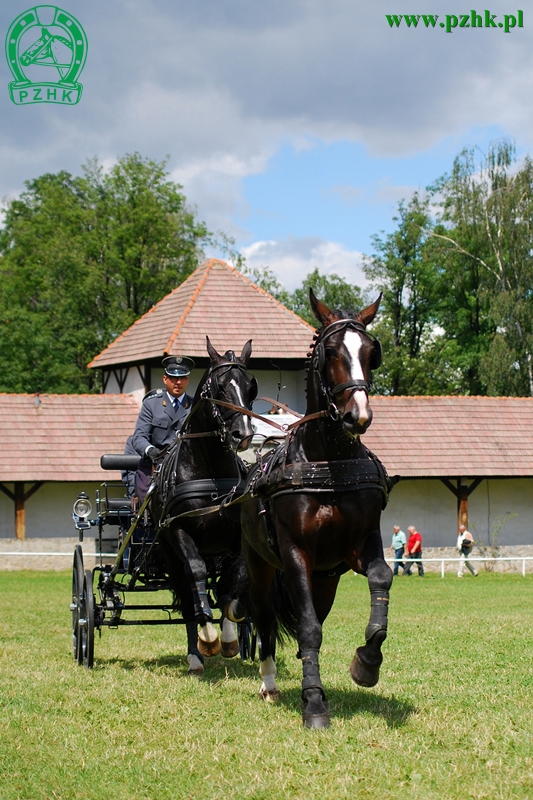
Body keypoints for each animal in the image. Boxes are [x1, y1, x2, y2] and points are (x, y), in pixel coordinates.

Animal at [151, 338, 256, 676]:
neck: (208, 474)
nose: (243, 434)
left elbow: (229, 586)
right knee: (187, 597)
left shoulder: (237, 540)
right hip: (170, 554)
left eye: (250, 386)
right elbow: (196, 579)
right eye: (219, 387)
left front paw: (229, 638)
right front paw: (208, 637)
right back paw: (195, 655)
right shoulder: (179, 532)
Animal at [237, 290, 394, 728]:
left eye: (371, 352)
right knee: (264, 616)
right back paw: (270, 683)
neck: (329, 464)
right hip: (260, 564)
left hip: (327, 578)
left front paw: (367, 663)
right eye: (331, 351)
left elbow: (382, 577)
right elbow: (306, 627)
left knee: (318, 615)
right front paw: (313, 702)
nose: (359, 415)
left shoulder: (360, 545)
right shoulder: (295, 556)